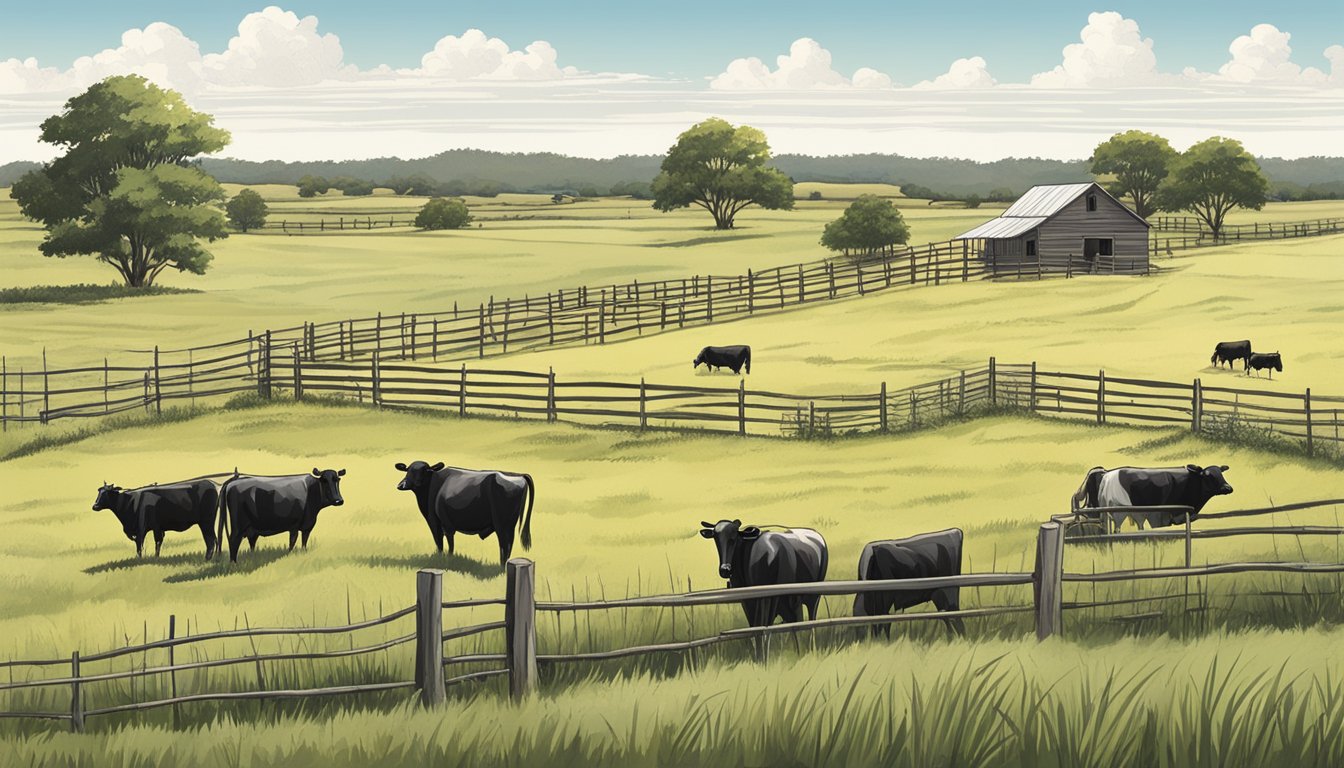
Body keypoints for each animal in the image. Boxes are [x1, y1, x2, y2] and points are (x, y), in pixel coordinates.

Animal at [392, 462, 532, 564]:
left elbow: (443, 543)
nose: (402, 485)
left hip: (502, 524)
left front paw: (446, 559)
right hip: (510, 525)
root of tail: (518, 475)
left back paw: (502, 566)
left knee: (504, 544)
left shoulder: (439, 523)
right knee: (509, 544)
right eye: (407, 470)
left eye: (425, 471)